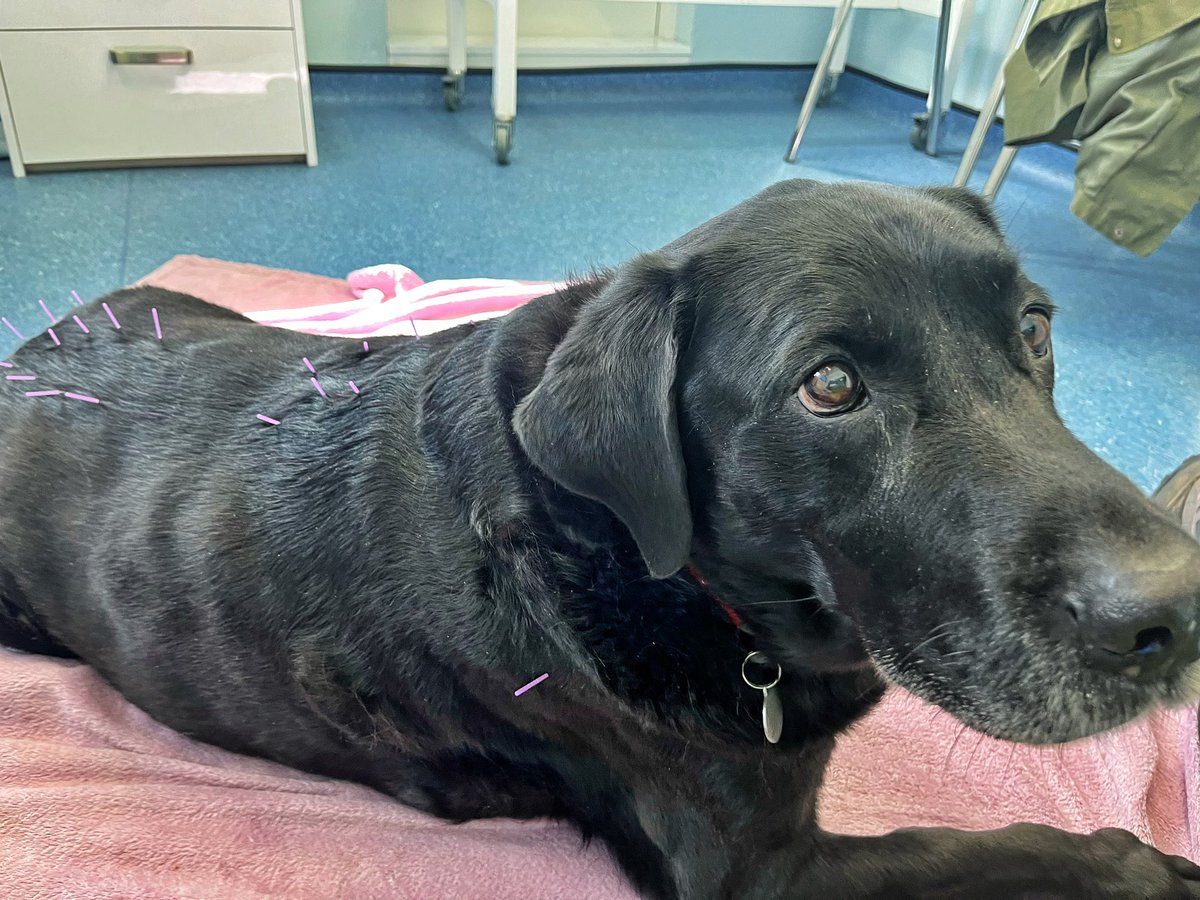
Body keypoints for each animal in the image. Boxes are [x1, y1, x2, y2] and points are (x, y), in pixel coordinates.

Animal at [2, 180, 1200, 897]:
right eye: (829, 387)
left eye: (1034, 329)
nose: (1177, 610)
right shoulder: (766, 875)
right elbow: (993, 848)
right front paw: (1143, 867)